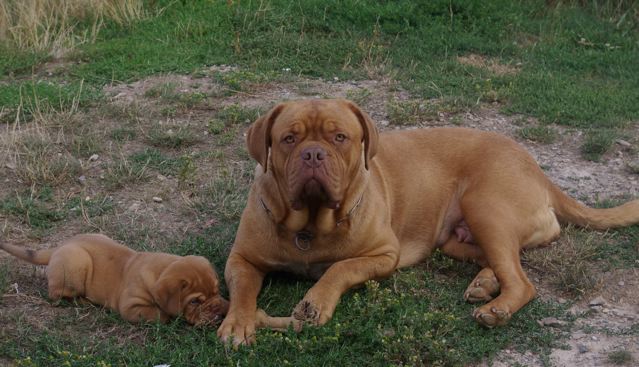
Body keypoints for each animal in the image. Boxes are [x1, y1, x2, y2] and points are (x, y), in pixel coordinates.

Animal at [0, 234, 230, 326]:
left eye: (217, 291)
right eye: (195, 302)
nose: (217, 308)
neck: (162, 268)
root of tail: (58, 247)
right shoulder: (131, 307)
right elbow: (160, 314)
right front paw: (168, 316)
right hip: (76, 262)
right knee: (56, 295)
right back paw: (83, 302)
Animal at [216, 98, 639, 344]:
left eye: (339, 138)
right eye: (289, 139)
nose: (313, 154)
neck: (311, 224)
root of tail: (537, 168)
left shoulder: (383, 255)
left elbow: (340, 268)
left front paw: (315, 302)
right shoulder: (242, 258)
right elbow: (242, 290)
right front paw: (238, 323)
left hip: (485, 207)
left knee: (522, 280)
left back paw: (495, 307)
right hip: (456, 235)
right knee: (504, 262)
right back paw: (485, 284)